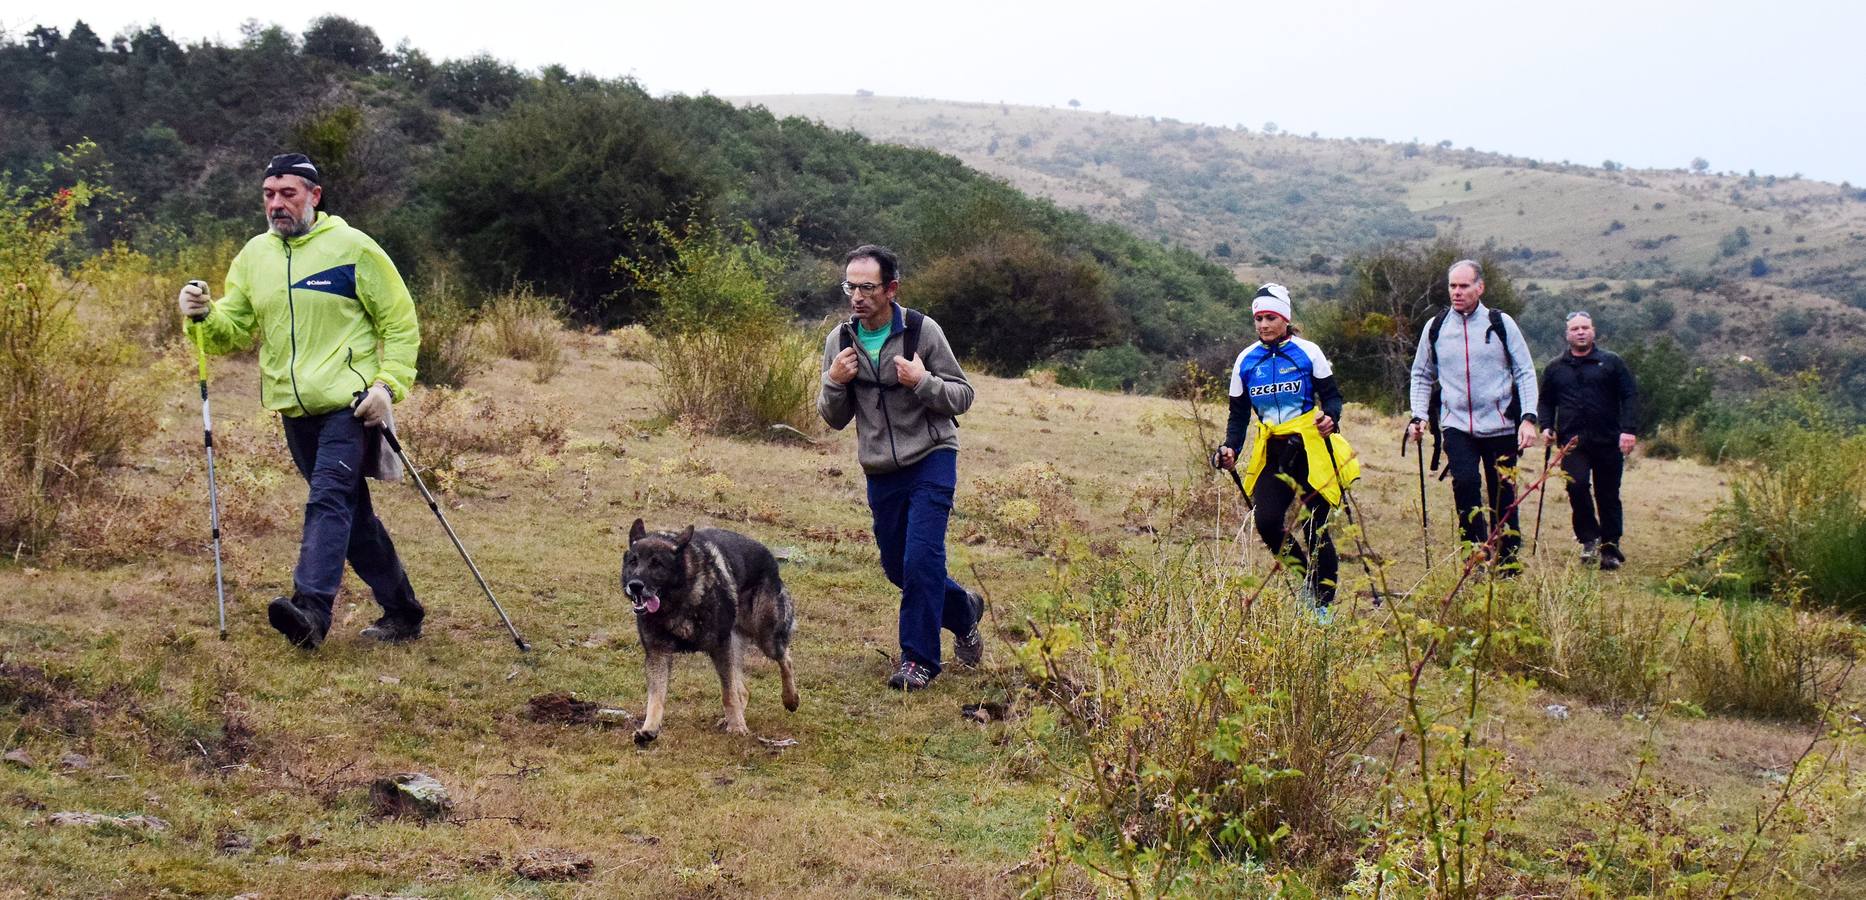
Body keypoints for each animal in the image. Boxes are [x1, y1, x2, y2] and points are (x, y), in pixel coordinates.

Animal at [623, 519, 798, 746]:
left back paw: (790, 699)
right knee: (743, 690)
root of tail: (770, 558)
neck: (679, 601)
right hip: (737, 644)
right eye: (633, 562)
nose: (634, 586)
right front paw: (649, 729)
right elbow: (656, 697)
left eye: (657, 564)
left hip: (766, 637)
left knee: (785, 659)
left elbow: (728, 693)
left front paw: (737, 727)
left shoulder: (720, 647)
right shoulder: (657, 654)